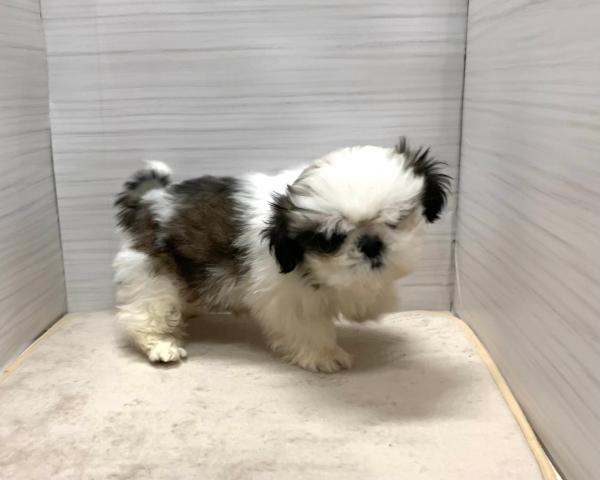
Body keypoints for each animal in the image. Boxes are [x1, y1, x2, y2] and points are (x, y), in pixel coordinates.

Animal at [113, 138, 450, 372]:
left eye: (397, 220)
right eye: (331, 239)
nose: (371, 244)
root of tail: (149, 200)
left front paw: (369, 304)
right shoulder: (286, 296)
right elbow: (308, 326)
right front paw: (325, 355)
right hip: (153, 273)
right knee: (146, 312)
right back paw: (161, 345)